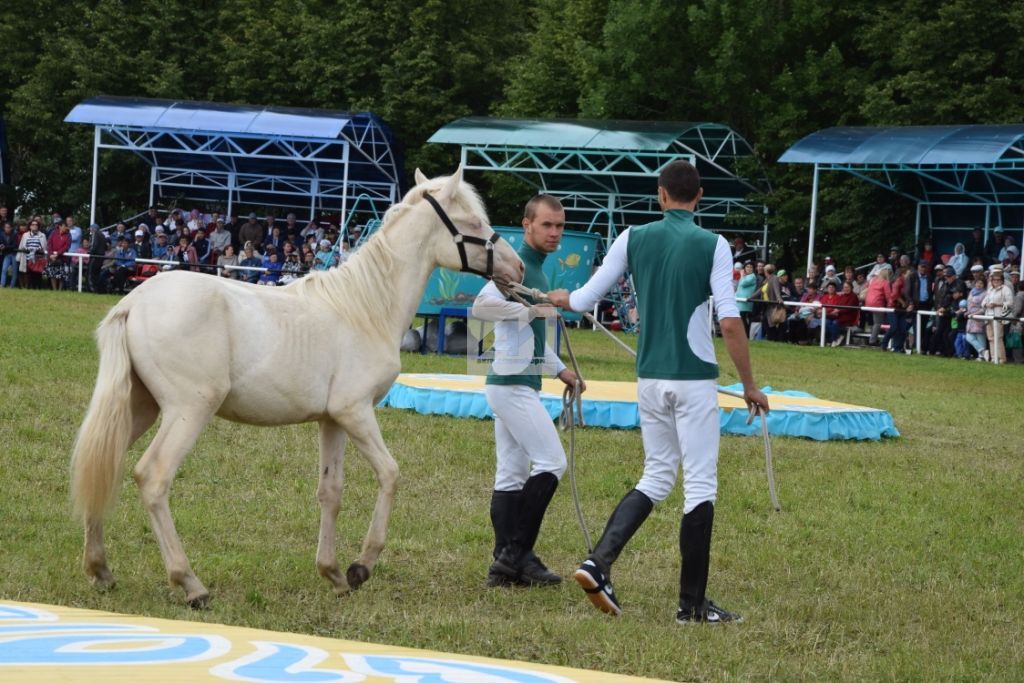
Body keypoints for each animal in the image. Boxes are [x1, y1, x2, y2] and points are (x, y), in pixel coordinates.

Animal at [70, 167, 528, 606]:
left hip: (140, 409)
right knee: (152, 477)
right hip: (189, 411)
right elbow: (390, 474)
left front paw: (333, 574)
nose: (518, 268)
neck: (365, 307)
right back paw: (190, 584)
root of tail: (134, 303)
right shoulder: (356, 412)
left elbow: (331, 491)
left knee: (104, 466)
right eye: (474, 221)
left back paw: (100, 569)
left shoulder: (332, 421)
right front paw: (361, 566)